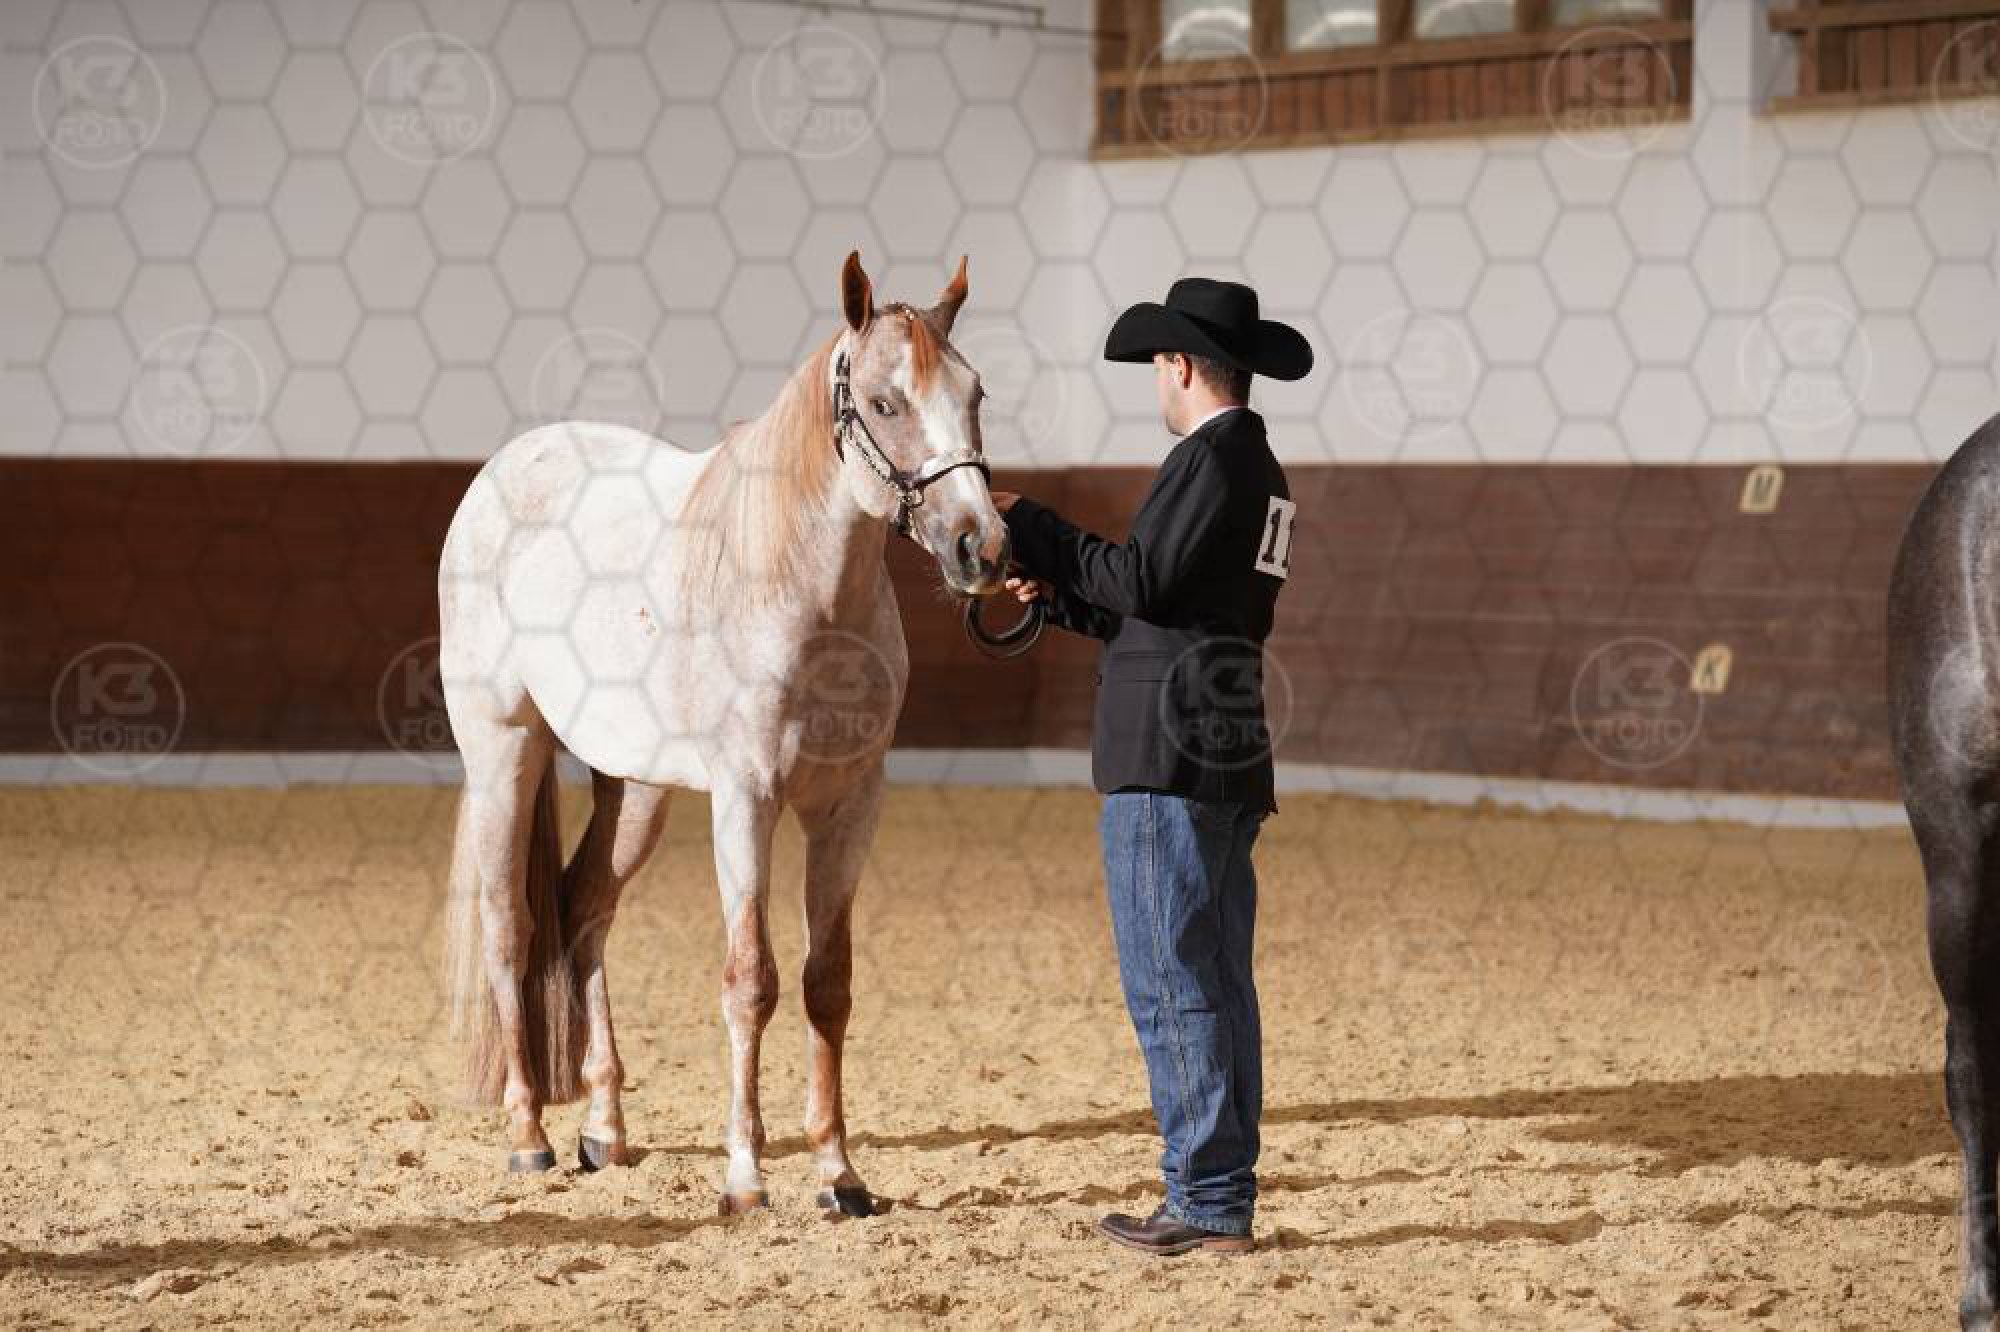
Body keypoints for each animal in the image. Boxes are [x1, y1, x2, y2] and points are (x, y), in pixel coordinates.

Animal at [436, 252, 1007, 1215]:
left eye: (975, 393)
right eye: (885, 401)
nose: (982, 547)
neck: (802, 592)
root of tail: (498, 476)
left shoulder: (850, 806)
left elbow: (826, 983)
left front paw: (838, 1174)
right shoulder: (746, 799)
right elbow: (752, 981)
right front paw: (744, 1174)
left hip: (634, 788)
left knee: (584, 909)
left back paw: (605, 1129)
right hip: (504, 750)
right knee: (510, 923)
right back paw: (529, 1136)